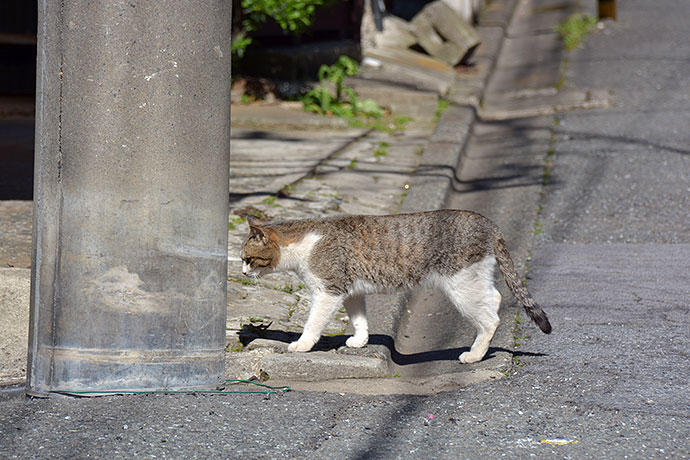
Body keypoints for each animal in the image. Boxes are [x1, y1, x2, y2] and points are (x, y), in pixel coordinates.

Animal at [239, 208, 552, 362]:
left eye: (248, 259)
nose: (241, 272)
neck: (303, 242)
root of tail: (489, 223)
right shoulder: (350, 292)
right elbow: (359, 320)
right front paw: (360, 341)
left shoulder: (328, 291)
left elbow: (313, 324)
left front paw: (302, 345)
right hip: (474, 280)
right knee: (495, 298)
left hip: (461, 286)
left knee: (489, 320)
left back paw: (474, 355)